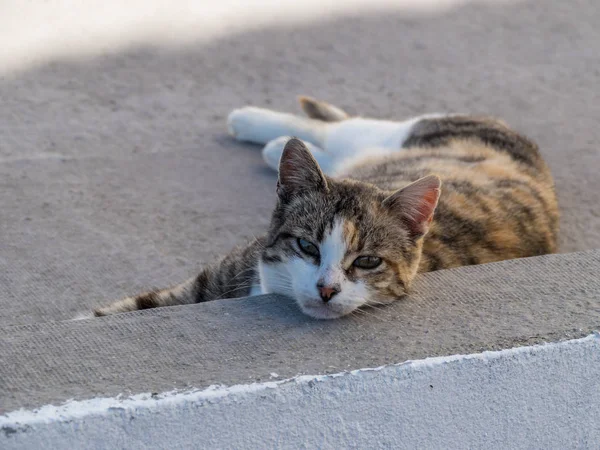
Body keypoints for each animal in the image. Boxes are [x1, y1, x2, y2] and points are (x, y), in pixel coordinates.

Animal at [91, 96, 560, 318]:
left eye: (368, 261)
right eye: (307, 247)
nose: (326, 288)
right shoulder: (214, 280)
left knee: (335, 132)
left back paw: (267, 138)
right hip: (395, 134)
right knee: (338, 126)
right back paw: (256, 126)